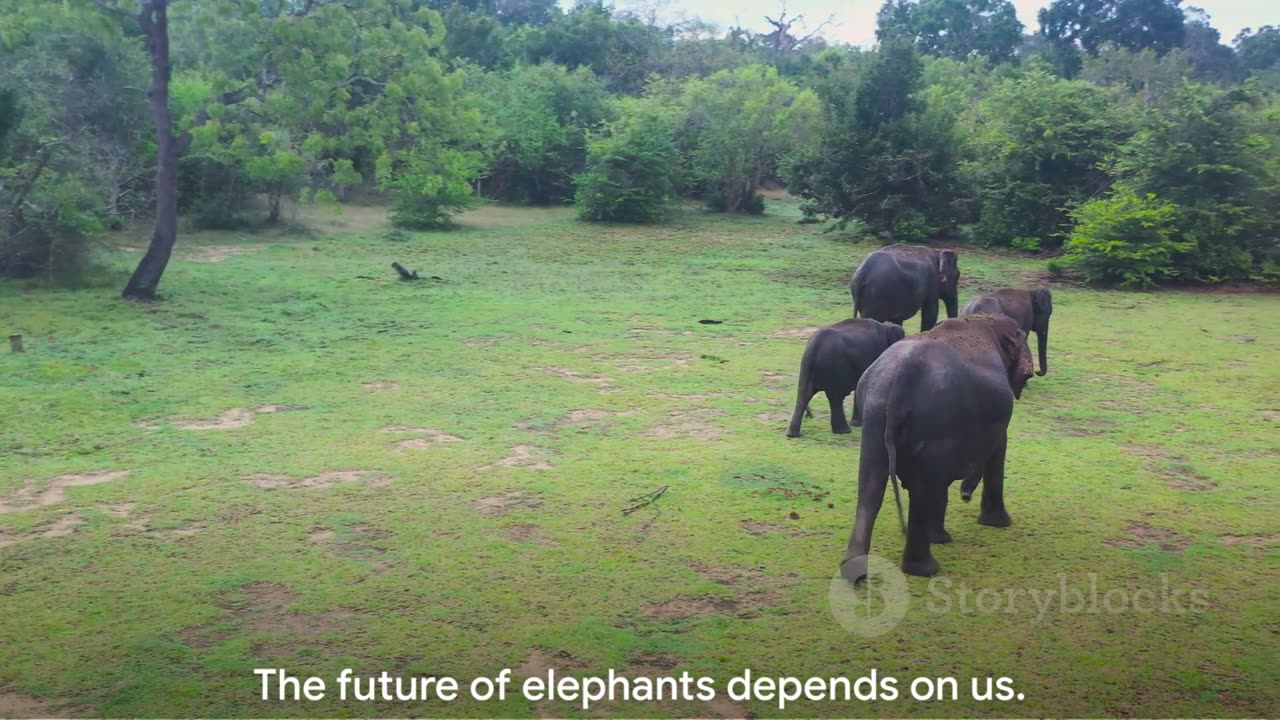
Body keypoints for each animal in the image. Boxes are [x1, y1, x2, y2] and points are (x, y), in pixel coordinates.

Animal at [839, 311, 1039, 579]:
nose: (965, 495)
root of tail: (902, 376)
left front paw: (942, 537)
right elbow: (997, 451)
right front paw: (998, 523)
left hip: (874, 414)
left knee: (872, 487)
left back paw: (856, 573)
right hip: (935, 422)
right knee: (922, 489)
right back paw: (925, 569)